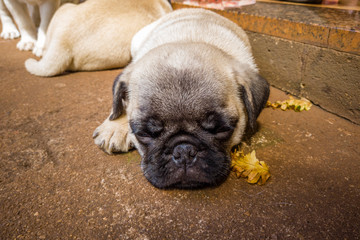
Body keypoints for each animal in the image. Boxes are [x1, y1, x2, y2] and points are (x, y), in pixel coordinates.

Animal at [93, 7, 270, 189]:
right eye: (143, 134)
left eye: (222, 130)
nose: (184, 150)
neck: (188, 39)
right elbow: (119, 102)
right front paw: (115, 126)